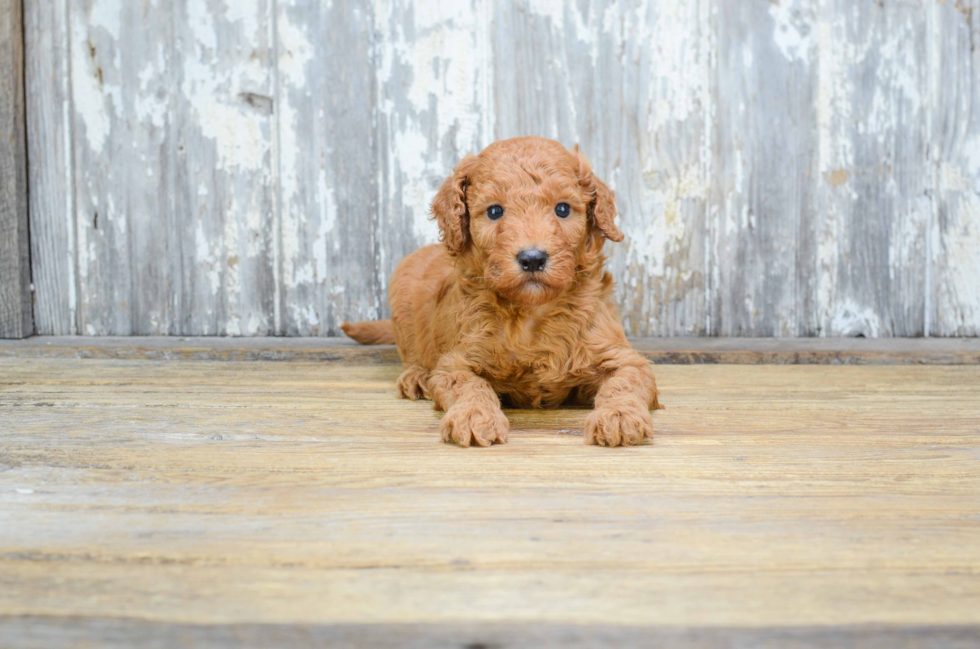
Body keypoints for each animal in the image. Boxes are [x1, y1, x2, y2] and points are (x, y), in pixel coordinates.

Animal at [340, 137, 664, 448]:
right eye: (495, 211)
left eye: (562, 209)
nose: (532, 258)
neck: (531, 313)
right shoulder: (456, 362)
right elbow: (469, 385)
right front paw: (474, 416)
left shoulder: (622, 357)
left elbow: (624, 382)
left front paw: (619, 416)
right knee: (412, 353)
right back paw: (417, 377)